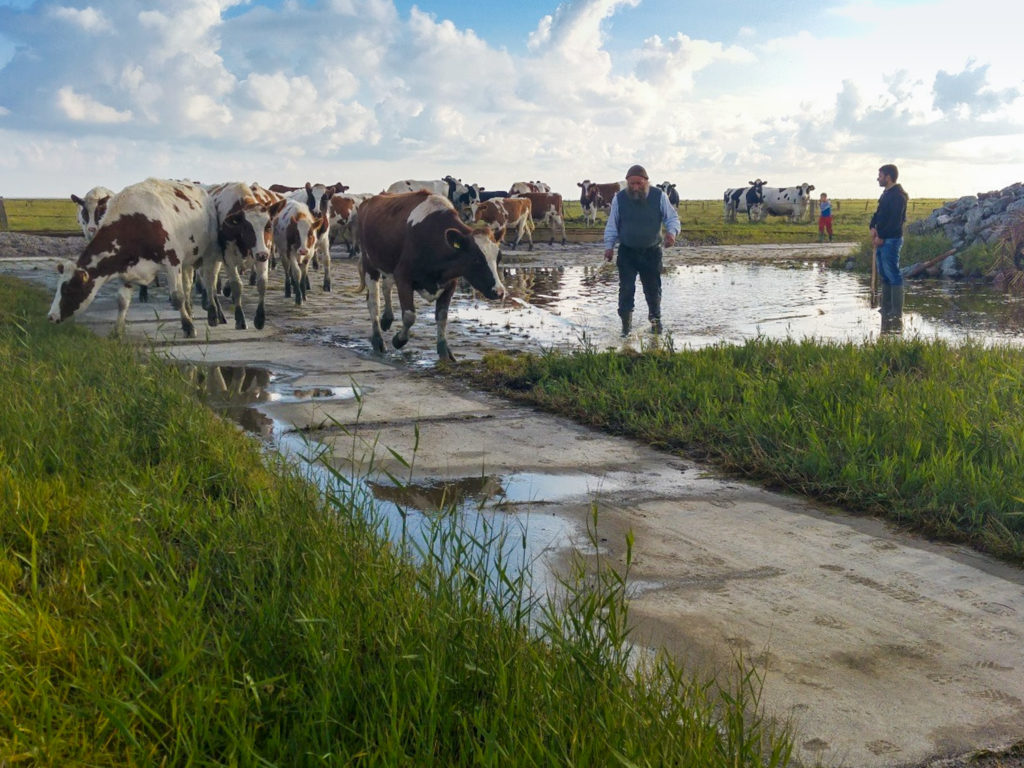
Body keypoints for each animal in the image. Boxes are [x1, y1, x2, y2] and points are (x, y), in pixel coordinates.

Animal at [48, 180, 221, 339]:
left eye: (68, 289)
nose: (51, 316)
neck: (136, 223)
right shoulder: (126, 269)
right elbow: (122, 301)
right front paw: (117, 331)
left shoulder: (172, 262)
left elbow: (178, 297)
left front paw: (188, 327)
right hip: (187, 261)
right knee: (188, 286)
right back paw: (190, 312)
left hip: (207, 254)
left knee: (206, 280)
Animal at [206, 186, 288, 333]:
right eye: (246, 227)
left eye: (268, 226)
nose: (262, 255)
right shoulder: (228, 259)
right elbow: (237, 285)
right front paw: (240, 319)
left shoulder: (263, 254)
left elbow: (262, 283)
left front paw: (260, 319)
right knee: (210, 281)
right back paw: (214, 314)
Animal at [356, 191, 507, 362]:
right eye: (476, 259)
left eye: (498, 258)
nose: (499, 292)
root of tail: (370, 200)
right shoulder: (403, 278)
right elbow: (409, 316)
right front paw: (398, 340)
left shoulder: (450, 284)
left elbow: (442, 317)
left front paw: (443, 351)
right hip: (370, 264)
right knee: (373, 302)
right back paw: (378, 340)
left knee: (386, 286)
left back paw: (387, 318)